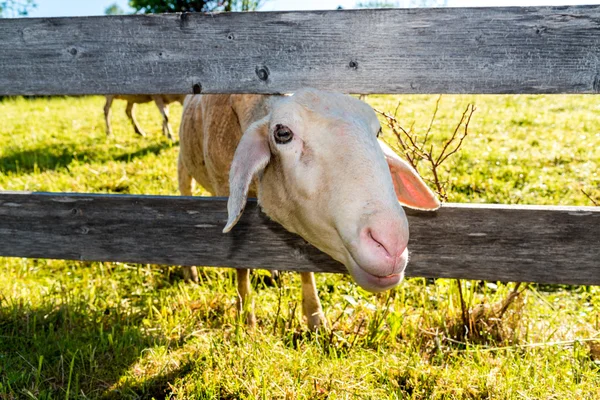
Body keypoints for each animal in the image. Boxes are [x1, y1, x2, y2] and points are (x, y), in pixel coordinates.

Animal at [176, 89, 438, 330]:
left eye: (378, 132)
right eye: (282, 133)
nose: (391, 245)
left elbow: (305, 267)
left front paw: (315, 317)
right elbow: (241, 266)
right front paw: (245, 318)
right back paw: (190, 272)